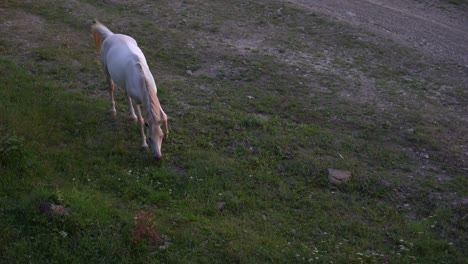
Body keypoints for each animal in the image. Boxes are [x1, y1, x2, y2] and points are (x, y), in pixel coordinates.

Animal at [91, 20, 168, 160]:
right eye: (150, 138)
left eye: (160, 136)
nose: (158, 157)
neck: (142, 79)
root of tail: (111, 35)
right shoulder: (137, 101)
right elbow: (142, 122)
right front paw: (143, 145)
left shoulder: (154, 94)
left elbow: (164, 115)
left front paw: (167, 134)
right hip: (106, 72)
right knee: (111, 88)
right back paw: (113, 111)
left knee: (126, 93)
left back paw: (132, 116)